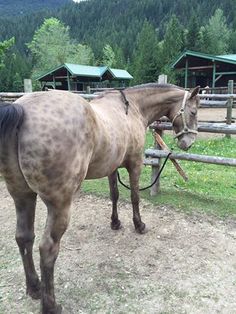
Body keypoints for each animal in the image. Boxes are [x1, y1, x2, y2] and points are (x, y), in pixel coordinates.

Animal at [0, 84, 199, 314]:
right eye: (193, 111)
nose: (188, 142)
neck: (133, 108)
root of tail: (22, 110)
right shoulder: (135, 164)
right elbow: (134, 196)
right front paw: (139, 225)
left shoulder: (112, 167)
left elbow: (115, 195)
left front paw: (115, 222)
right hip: (59, 205)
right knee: (47, 249)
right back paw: (51, 305)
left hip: (23, 196)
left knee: (24, 238)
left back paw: (34, 288)